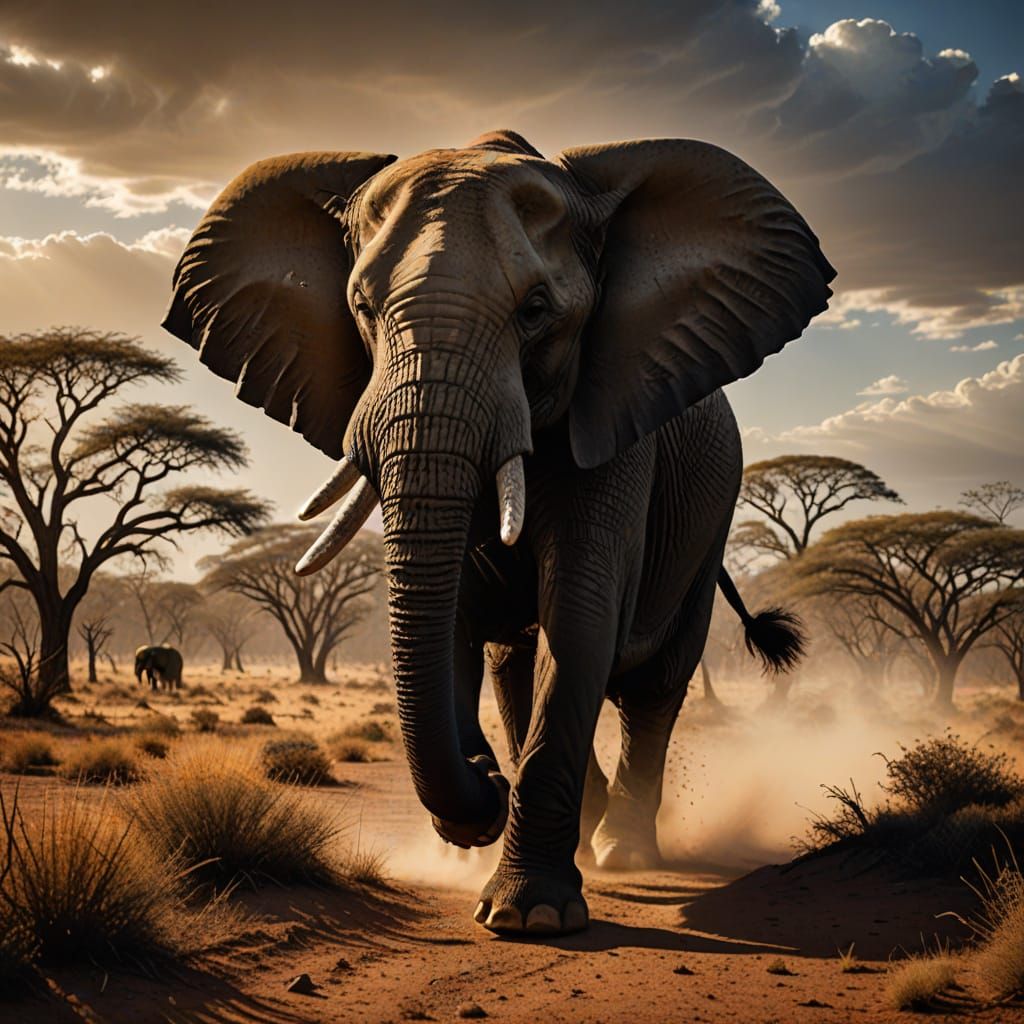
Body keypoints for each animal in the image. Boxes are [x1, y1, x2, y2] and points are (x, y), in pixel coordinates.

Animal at [163, 129, 834, 935]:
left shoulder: (612, 425)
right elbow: (455, 615)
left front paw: (530, 916)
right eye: (361, 306)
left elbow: (580, 617)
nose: (483, 793)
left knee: (654, 683)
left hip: (713, 515)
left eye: (537, 309)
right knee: (517, 665)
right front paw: (481, 817)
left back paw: (623, 852)